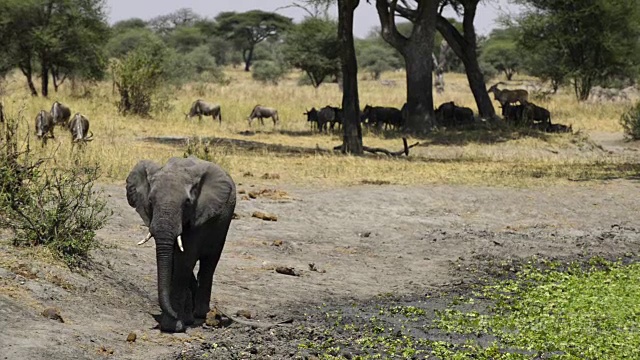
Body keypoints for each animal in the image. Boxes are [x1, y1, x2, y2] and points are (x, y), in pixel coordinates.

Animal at [124, 157, 236, 332]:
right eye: (150, 201)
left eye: (187, 202)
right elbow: (172, 259)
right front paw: (178, 321)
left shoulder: (199, 214)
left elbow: (185, 259)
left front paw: (172, 326)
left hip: (224, 221)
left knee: (210, 262)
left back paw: (200, 313)